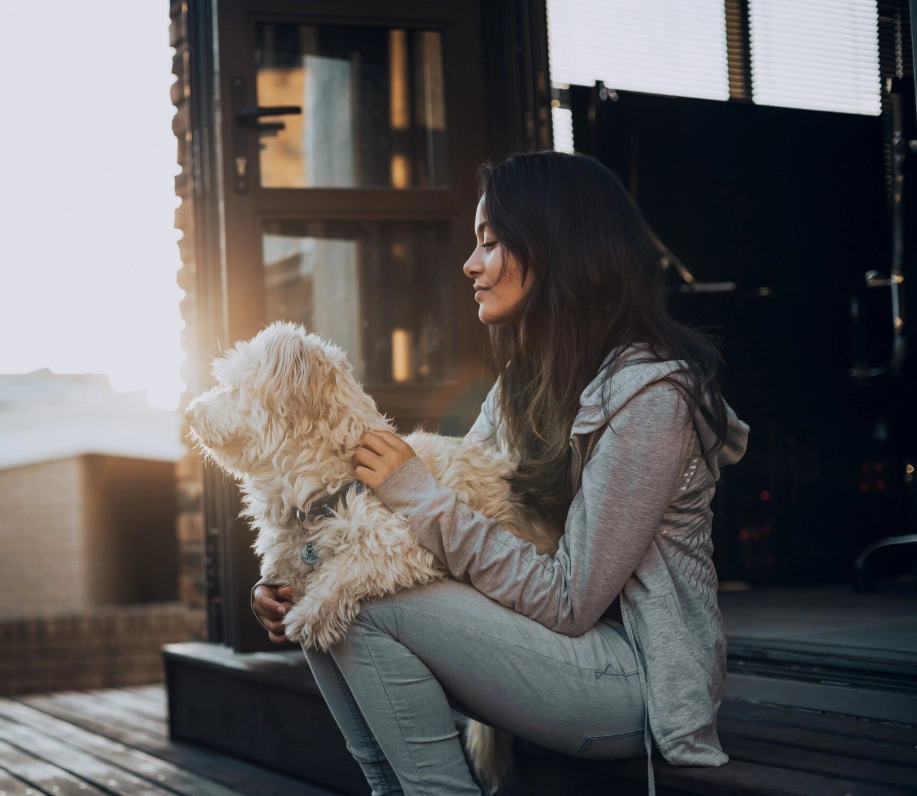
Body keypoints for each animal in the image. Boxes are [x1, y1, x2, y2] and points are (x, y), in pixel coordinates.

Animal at [184, 322, 560, 788]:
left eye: (233, 388)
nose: (188, 413)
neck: (325, 491)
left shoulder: (409, 541)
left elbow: (346, 570)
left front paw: (309, 615)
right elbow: (287, 574)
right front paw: (269, 599)